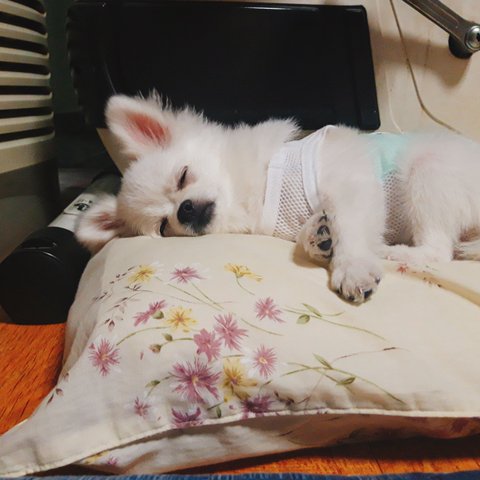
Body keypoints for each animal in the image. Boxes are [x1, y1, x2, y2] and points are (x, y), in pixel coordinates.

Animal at [76, 94, 480, 303]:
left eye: (183, 176)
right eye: (163, 226)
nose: (185, 210)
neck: (253, 195)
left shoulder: (352, 185)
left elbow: (350, 228)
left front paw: (352, 267)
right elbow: (319, 229)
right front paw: (319, 239)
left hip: (429, 170)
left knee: (438, 250)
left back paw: (397, 253)